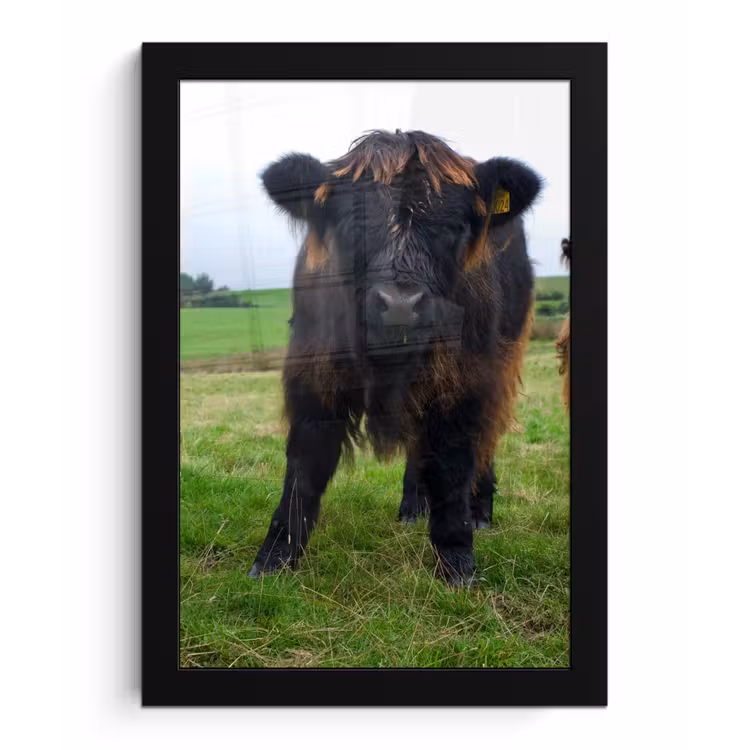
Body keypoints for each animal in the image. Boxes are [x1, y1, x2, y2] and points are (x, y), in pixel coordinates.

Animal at [248, 129, 543, 586]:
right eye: (351, 223)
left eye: (455, 226)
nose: (401, 305)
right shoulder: (314, 373)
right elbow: (304, 465)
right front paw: (274, 558)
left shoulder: (466, 381)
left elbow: (455, 464)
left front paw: (456, 562)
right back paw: (411, 506)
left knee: (485, 441)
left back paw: (480, 513)